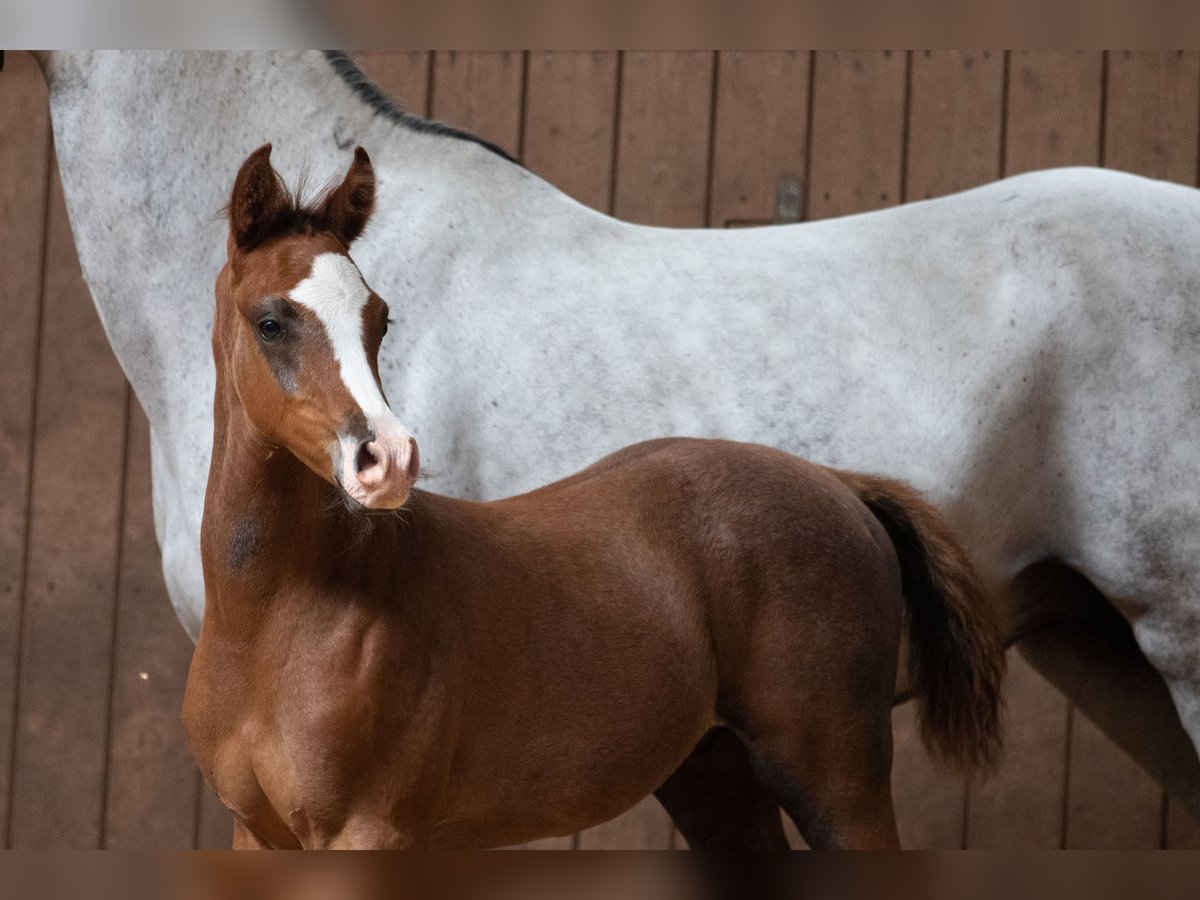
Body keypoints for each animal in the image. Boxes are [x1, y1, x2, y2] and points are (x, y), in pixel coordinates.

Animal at [182, 148, 1003, 854]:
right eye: (271, 322)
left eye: (379, 318)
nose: (388, 460)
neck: (280, 618)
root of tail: (841, 485)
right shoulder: (259, 835)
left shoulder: (369, 832)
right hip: (714, 776)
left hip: (837, 779)